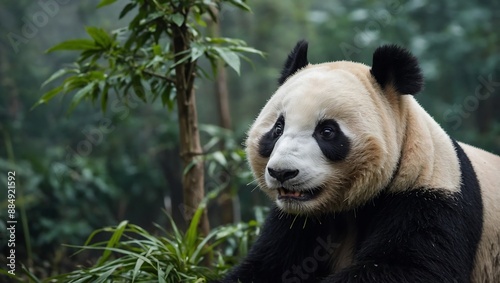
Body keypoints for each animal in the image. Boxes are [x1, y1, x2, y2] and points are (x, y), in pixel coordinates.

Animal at [222, 40, 500, 283]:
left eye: (327, 131)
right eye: (277, 129)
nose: (282, 172)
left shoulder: (431, 195)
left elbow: (411, 268)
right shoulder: (295, 222)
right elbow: (265, 265)